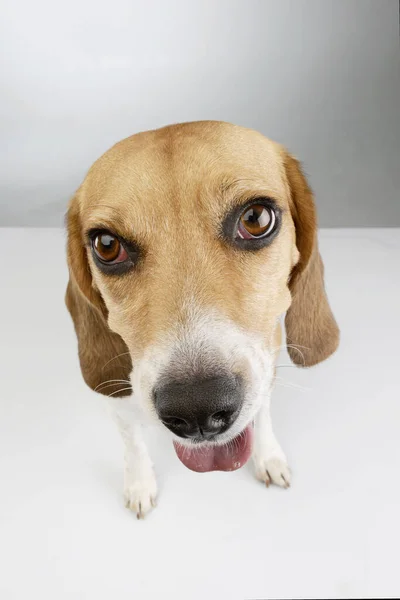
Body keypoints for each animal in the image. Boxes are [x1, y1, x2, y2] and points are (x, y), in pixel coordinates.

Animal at [65, 120, 338, 516]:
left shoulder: (266, 364)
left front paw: (268, 456)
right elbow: (133, 442)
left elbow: (262, 415)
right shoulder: (118, 396)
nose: (197, 409)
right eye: (106, 245)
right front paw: (140, 483)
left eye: (255, 219)